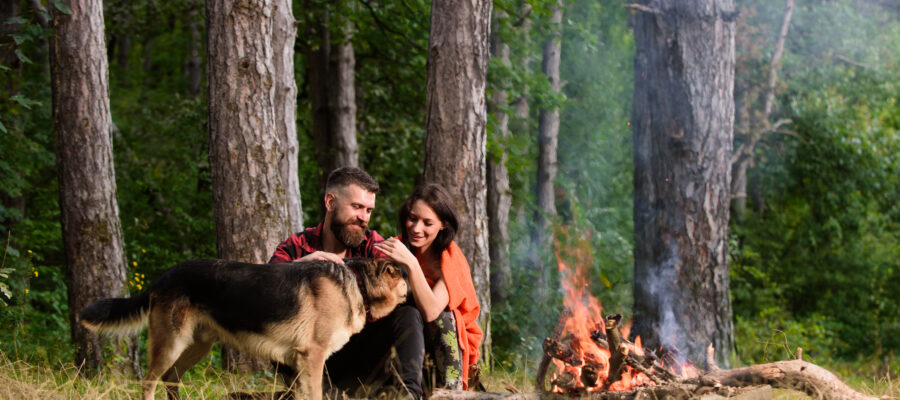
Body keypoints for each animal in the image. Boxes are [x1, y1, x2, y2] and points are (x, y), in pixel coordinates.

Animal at [79, 258, 410, 398]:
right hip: (171, 344)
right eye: (406, 277)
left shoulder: (301, 366)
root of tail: (162, 277)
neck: (358, 282)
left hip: (197, 346)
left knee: (171, 379)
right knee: (149, 382)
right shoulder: (312, 358)